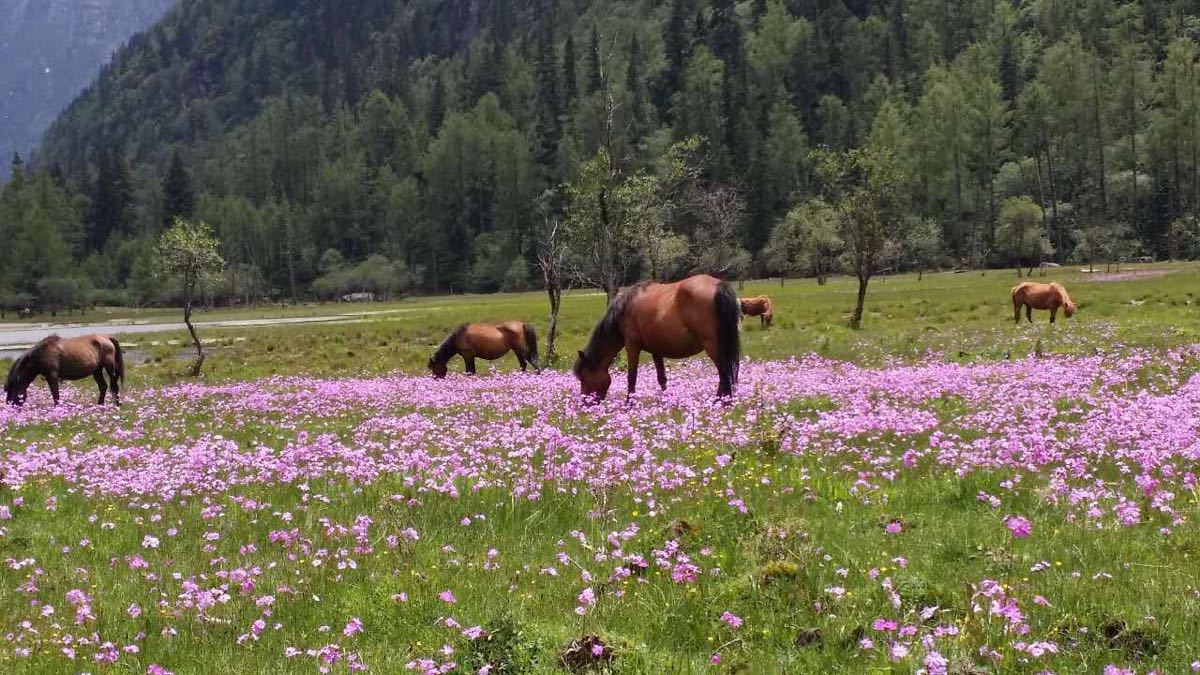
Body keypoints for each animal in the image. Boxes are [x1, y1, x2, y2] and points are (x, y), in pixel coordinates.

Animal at [571, 273, 739, 398]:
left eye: (583, 377)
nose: (585, 403)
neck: (625, 309)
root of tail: (719, 285)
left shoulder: (632, 346)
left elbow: (632, 377)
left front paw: (629, 404)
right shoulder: (656, 350)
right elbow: (661, 378)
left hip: (712, 345)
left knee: (724, 373)